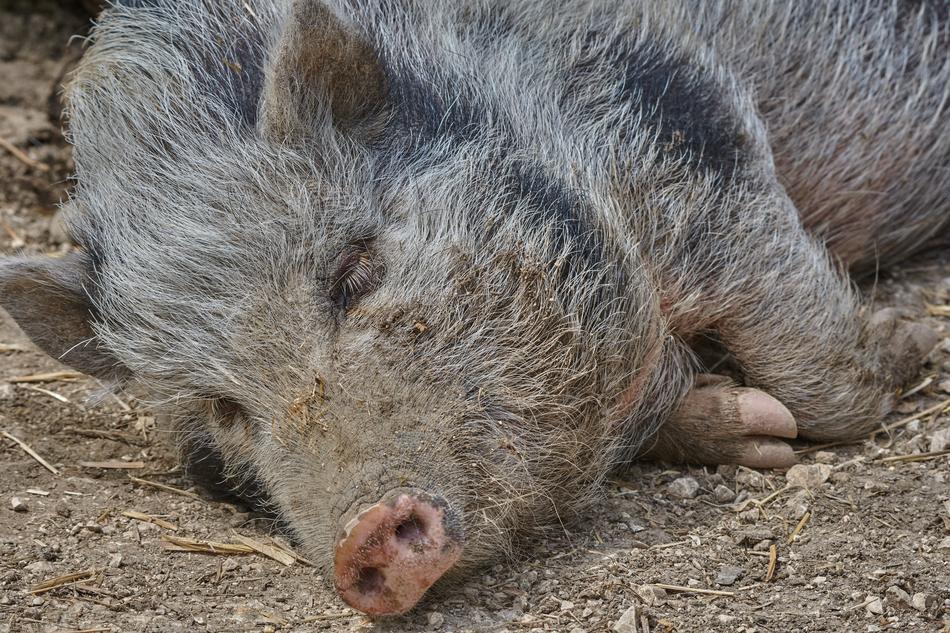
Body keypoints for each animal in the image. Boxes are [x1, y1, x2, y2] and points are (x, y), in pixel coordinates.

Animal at [0, 0, 946, 617]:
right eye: (225, 409)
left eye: (355, 272)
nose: (362, 534)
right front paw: (754, 426)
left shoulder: (689, 127)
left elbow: (814, 361)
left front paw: (907, 346)